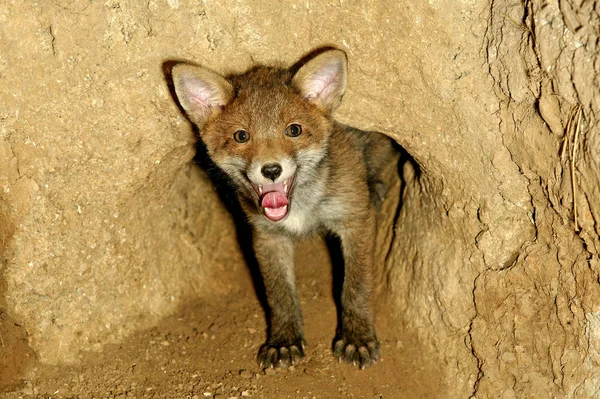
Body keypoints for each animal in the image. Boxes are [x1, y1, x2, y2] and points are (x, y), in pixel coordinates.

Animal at [171, 47, 398, 368]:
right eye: (242, 136)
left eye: (293, 130)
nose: (271, 170)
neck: (303, 208)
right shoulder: (267, 236)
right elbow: (279, 293)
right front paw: (284, 340)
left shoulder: (355, 221)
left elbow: (355, 286)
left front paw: (357, 337)